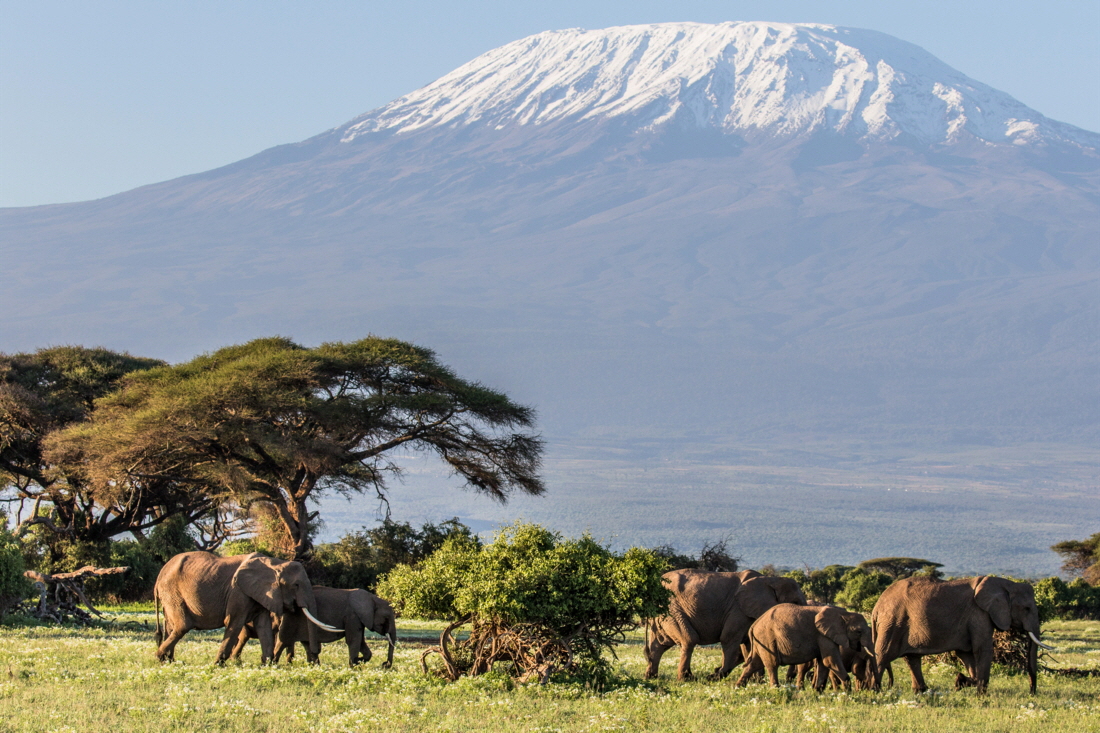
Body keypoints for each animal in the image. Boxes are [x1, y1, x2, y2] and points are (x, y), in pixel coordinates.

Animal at [151, 548, 338, 660]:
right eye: (296, 585)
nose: (315, 652)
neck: (274, 563)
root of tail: (159, 575)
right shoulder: (238, 591)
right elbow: (234, 622)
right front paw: (217, 665)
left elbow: (263, 626)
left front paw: (267, 665)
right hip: (172, 592)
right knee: (182, 625)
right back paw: (159, 657)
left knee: (172, 626)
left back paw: (169, 661)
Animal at [229, 585, 398, 664]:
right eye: (387, 618)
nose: (385, 664)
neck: (373, 598)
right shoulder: (352, 616)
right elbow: (353, 640)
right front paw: (354, 665)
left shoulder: (357, 619)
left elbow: (361, 642)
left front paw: (359, 661)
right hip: (291, 620)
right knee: (283, 641)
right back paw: (273, 665)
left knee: (304, 643)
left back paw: (314, 665)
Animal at [638, 563, 809, 677]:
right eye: (795, 603)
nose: (790, 678)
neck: (771, 580)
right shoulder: (738, 610)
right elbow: (729, 639)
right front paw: (717, 675)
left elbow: (748, 644)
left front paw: (756, 681)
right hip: (672, 609)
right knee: (689, 640)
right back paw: (686, 678)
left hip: (663, 614)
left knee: (659, 645)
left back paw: (651, 677)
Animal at [871, 576, 1051, 691]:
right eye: (1026, 608)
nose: (1032, 693)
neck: (1005, 584)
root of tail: (876, 608)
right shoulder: (979, 614)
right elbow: (982, 650)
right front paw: (980, 695)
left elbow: (966, 654)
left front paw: (960, 682)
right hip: (893, 622)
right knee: (883, 655)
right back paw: (873, 690)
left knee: (912, 658)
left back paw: (921, 691)